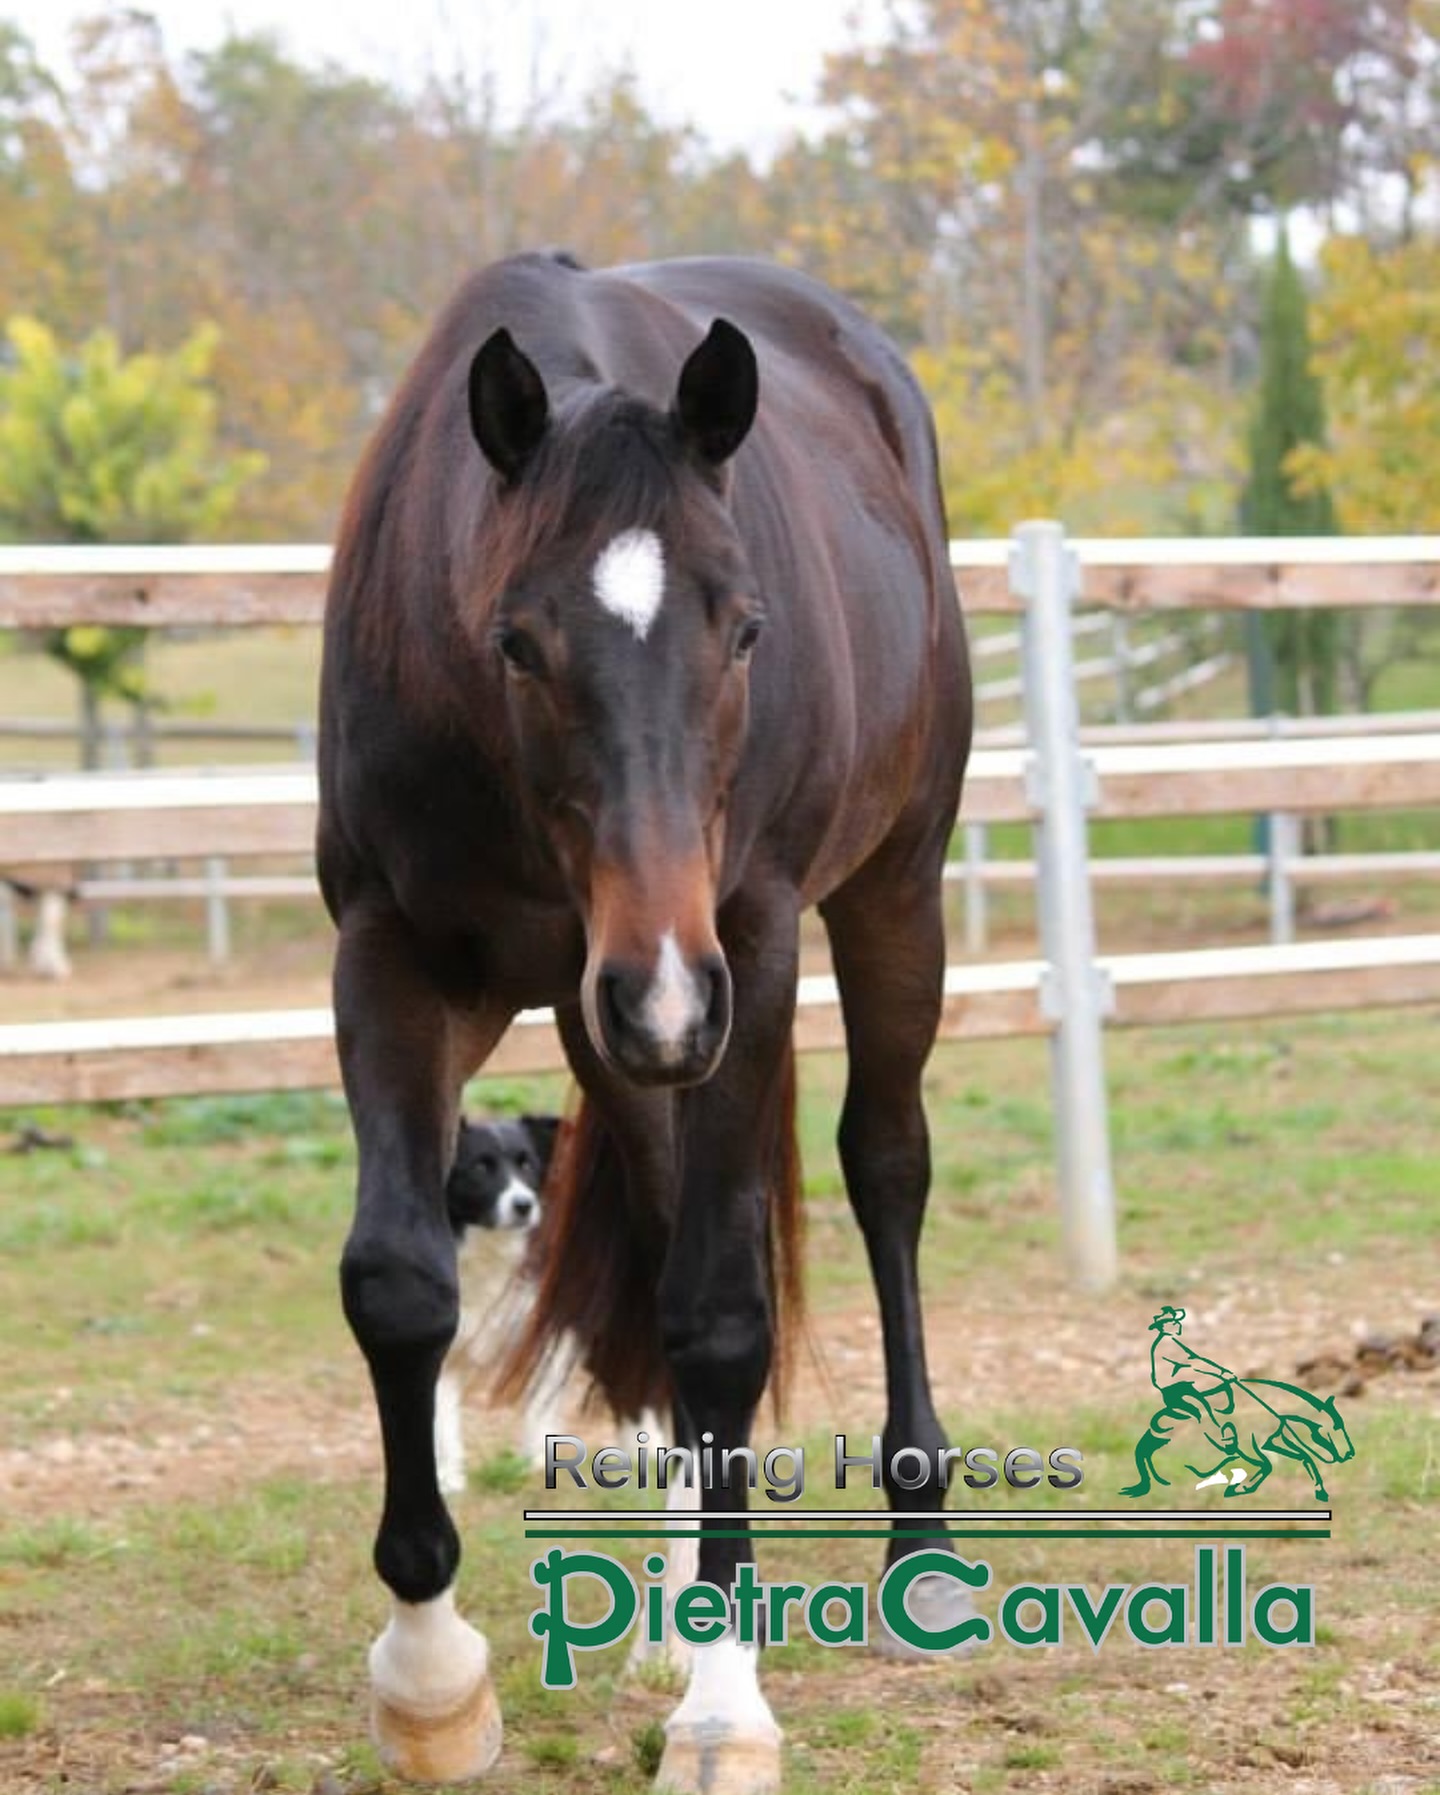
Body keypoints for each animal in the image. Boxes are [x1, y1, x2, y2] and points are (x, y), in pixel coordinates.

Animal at [316, 249, 973, 1791]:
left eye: (745, 628)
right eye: (516, 642)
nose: (664, 980)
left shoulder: (745, 951)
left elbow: (724, 1313)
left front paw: (727, 1702)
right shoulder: (392, 958)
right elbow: (399, 1283)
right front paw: (430, 1675)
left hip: (885, 898)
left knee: (886, 1168)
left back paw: (918, 1543)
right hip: (613, 1029)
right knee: (670, 1227)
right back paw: (670, 1601)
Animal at [1121, 1377, 1353, 1502]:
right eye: (1334, 1426)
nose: (1349, 1453)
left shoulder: (1269, 1442)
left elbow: (1304, 1458)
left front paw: (1321, 1491)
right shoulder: (1250, 1446)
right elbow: (1268, 1466)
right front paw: (1241, 1487)